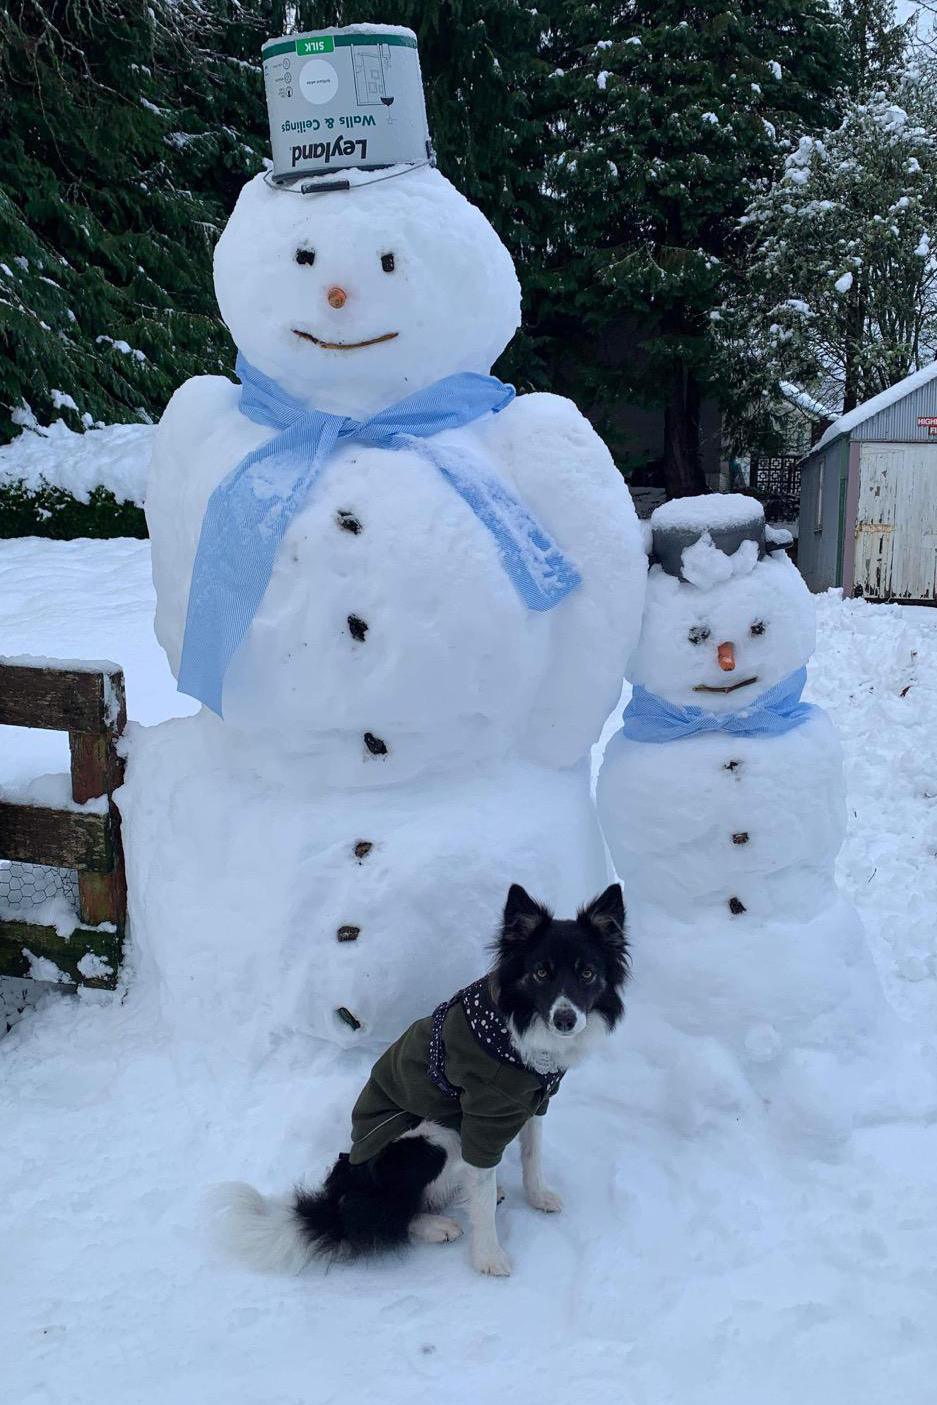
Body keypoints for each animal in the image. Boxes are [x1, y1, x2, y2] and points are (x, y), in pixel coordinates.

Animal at [212, 882, 629, 1281]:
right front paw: (488, 1257)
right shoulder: (481, 1119)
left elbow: (532, 1154)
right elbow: (483, 1198)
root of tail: (345, 1188)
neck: (517, 1034)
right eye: (541, 972)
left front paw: (538, 1196)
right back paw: (436, 1224)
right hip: (431, 1138)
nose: (566, 1020)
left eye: (587, 973)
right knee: (382, 1217)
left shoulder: (534, 1102)